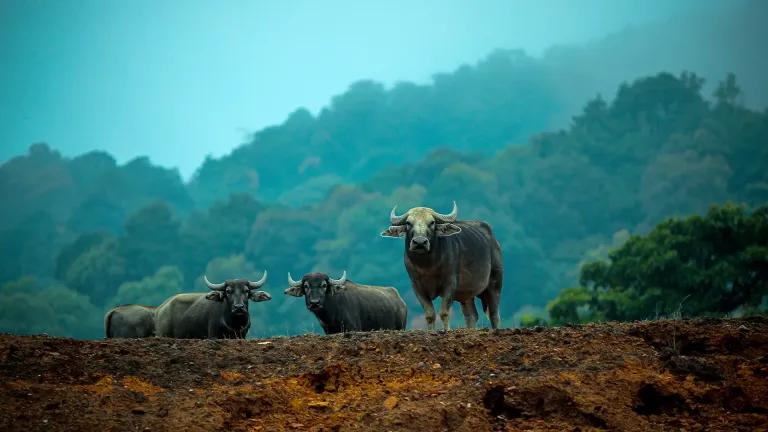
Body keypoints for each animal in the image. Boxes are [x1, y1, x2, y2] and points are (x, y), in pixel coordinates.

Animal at [380, 202, 500, 330]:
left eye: (432, 222)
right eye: (408, 223)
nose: (420, 242)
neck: (428, 266)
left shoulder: (450, 284)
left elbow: (444, 312)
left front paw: (446, 330)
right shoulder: (417, 286)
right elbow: (429, 314)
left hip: (495, 283)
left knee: (494, 314)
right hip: (467, 294)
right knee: (471, 315)